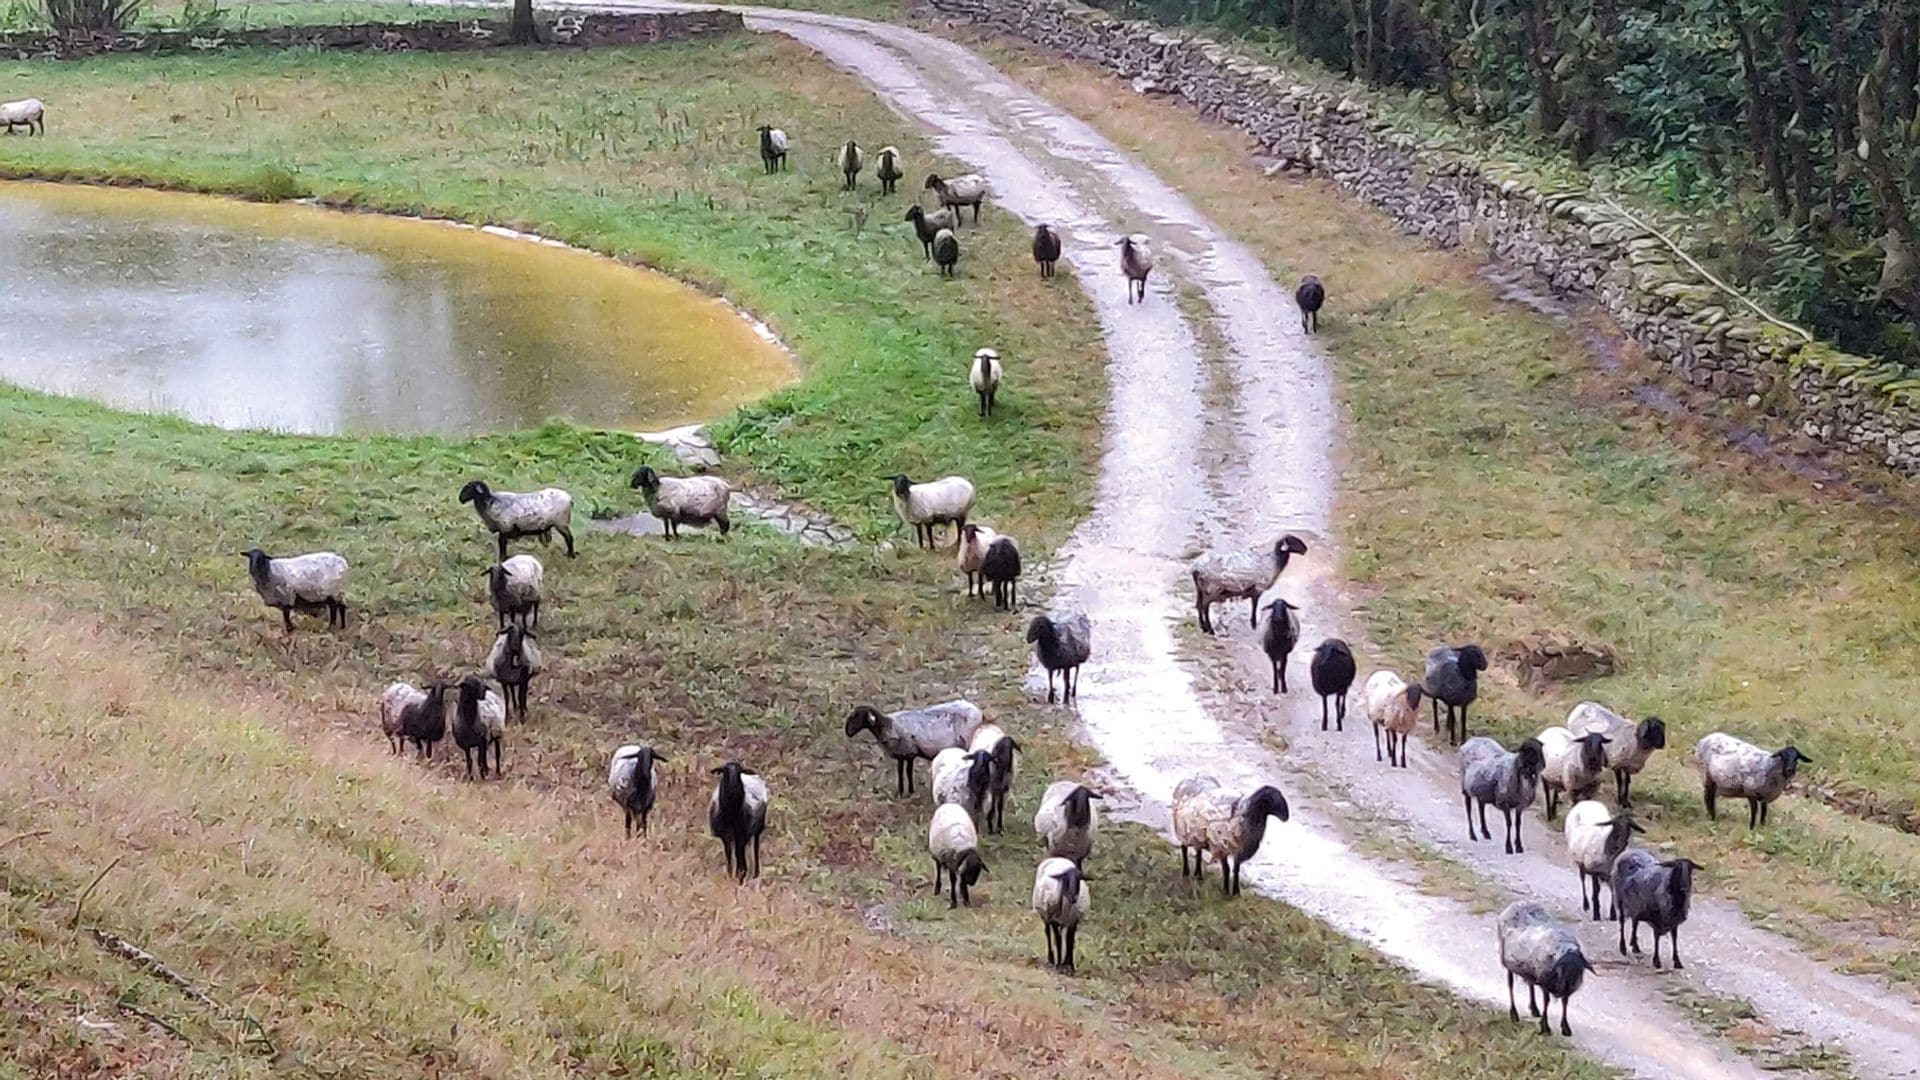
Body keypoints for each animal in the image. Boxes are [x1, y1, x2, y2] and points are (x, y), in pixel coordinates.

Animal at [843, 699, 985, 796]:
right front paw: (904, 792)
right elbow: (902, 772)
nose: (848, 732)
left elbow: (906, 772)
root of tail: (978, 712)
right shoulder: (903, 755)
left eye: (857, 716)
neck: (886, 725)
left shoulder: (908, 752)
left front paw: (907, 792)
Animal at [1497, 901, 1595, 1037]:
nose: (1567, 986)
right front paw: (1545, 1027)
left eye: (1580, 970)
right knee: (1510, 985)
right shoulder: (1545, 983)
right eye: (1561, 970)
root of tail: (1517, 903)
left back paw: (1534, 1008)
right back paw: (1514, 1014)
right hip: (1508, 962)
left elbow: (1565, 1002)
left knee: (1530, 983)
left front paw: (1565, 1027)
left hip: (1531, 969)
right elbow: (1547, 1002)